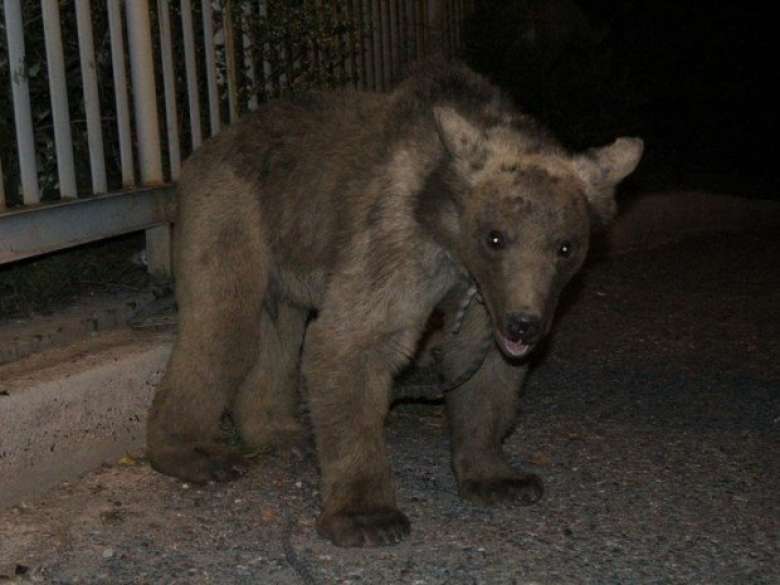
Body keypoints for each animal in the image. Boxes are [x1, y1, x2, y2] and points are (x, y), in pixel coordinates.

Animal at [145, 59, 640, 548]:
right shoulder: (399, 244)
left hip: (287, 249)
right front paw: (368, 517)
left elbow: (483, 368)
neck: (452, 238)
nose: (524, 325)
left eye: (565, 247)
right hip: (233, 211)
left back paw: (281, 433)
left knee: (277, 332)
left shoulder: (485, 294)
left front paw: (499, 478)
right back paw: (195, 454)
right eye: (495, 236)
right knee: (223, 324)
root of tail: (207, 146)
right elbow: (352, 343)